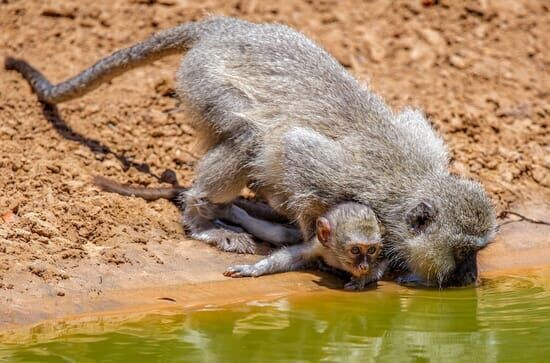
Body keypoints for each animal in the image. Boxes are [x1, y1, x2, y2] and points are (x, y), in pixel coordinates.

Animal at [95, 178, 388, 292]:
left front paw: (364, 279)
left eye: (371, 249)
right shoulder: (318, 245)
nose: (363, 265)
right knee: (279, 233)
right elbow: (288, 256)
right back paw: (232, 215)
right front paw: (252, 269)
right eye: (355, 249)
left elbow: (386, 264)